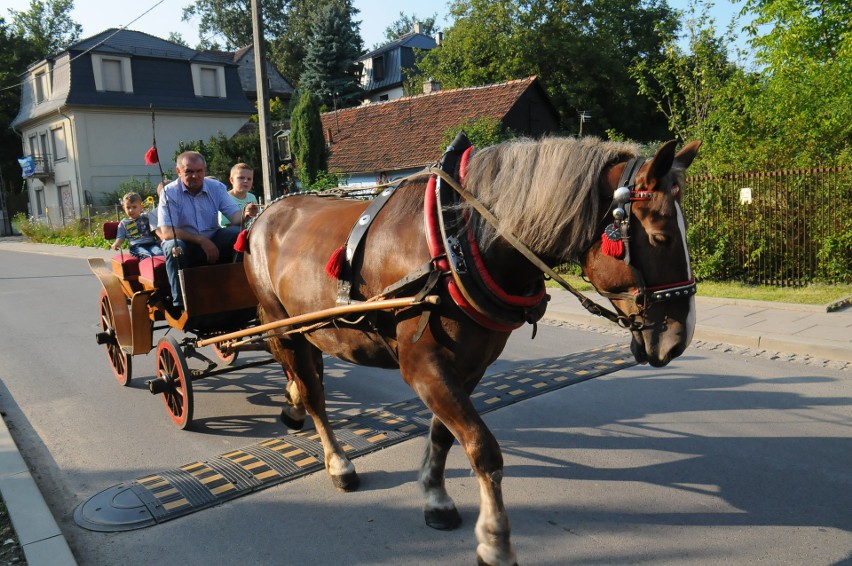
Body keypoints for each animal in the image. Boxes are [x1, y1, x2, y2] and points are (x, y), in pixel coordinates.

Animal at [243, 138, 704, 566]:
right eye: (661, 237)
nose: (678, 339)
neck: (458, 245)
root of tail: (264, 213)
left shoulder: (471, 366)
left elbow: (445, 434)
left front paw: (435, 496)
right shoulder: (422, 367)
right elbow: (483, 447)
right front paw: (495, 540)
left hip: (311, 329)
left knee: (308, 378)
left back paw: (292, 406)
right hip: (282, 325)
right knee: (315, 394)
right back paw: (337, 460)